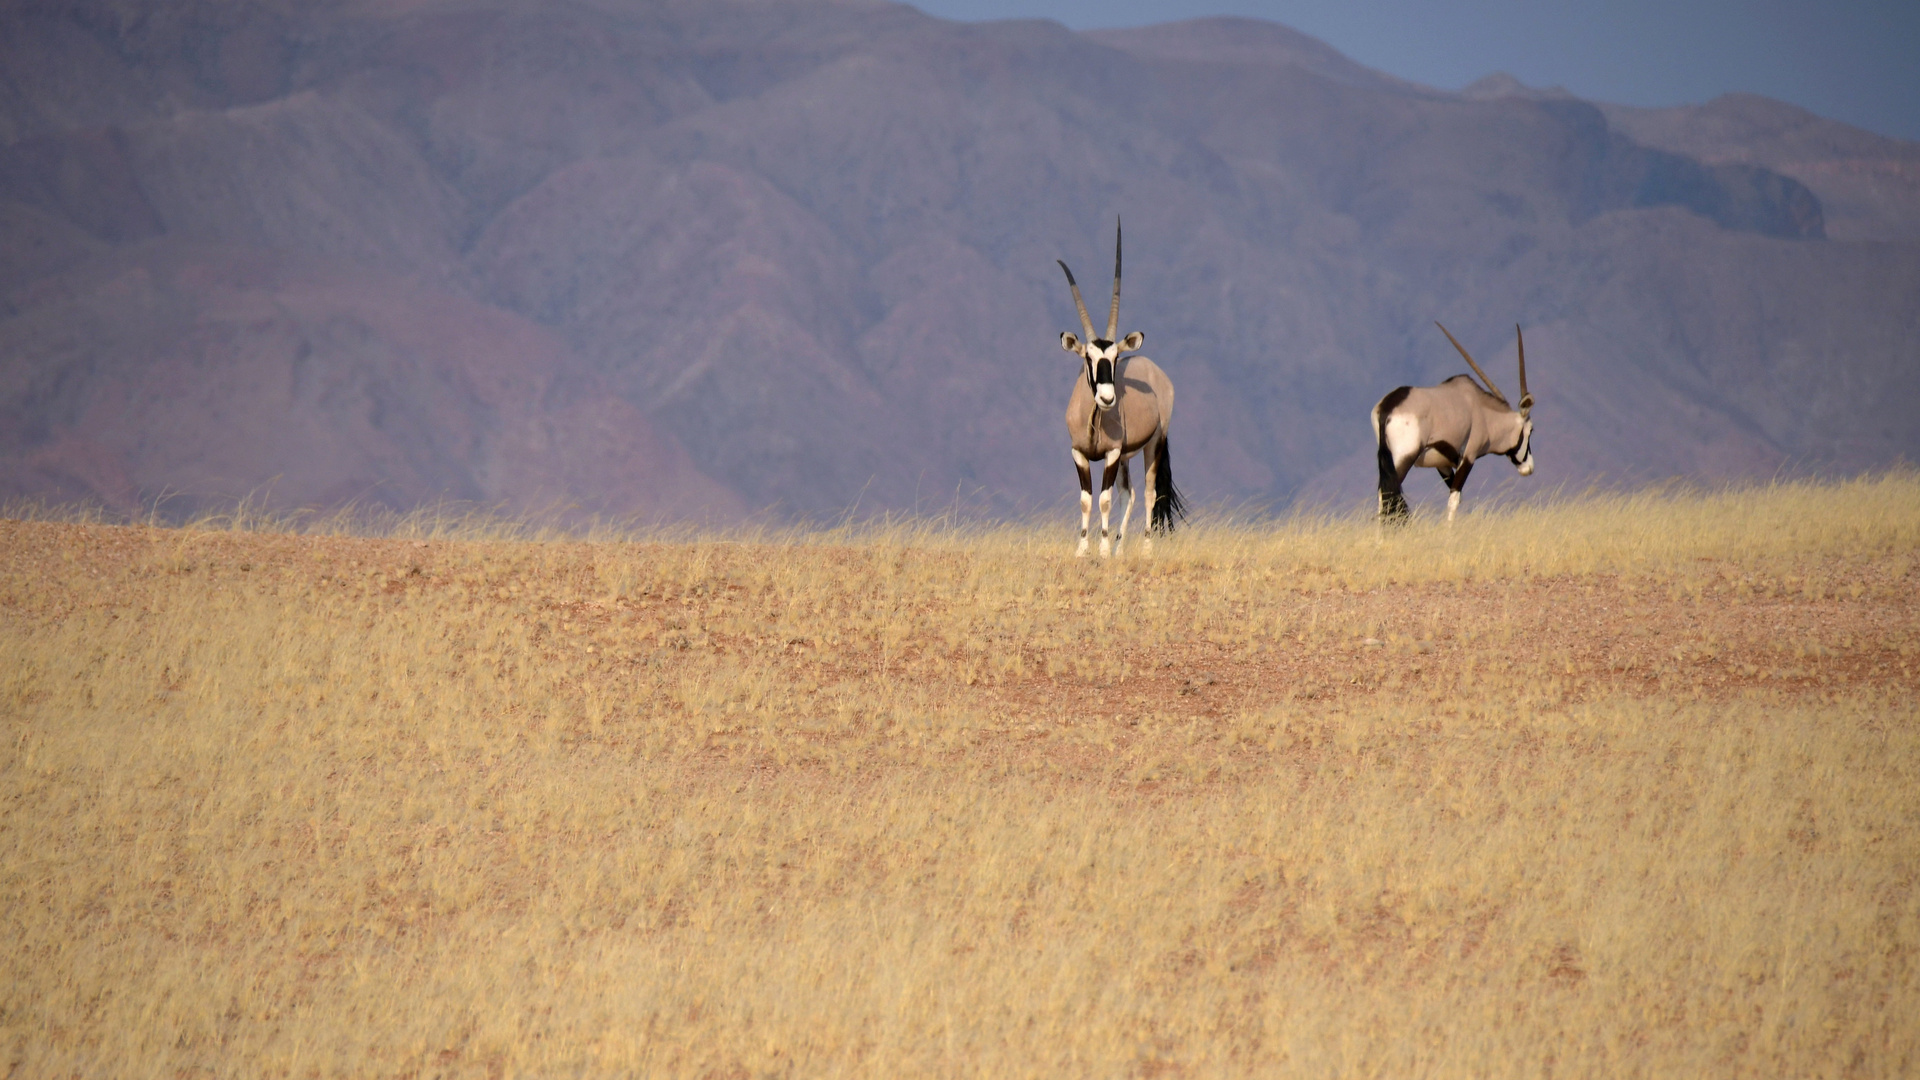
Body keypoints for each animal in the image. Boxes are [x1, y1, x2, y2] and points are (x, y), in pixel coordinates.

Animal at [1052, 219, 1182, 553]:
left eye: (1115, 357)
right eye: (1089, 357)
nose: (1108, 398)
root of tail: (1154, 368)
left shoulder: (1111, 454)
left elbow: (1104, 500)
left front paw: (1101, 548)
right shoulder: (1079, 453)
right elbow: (1087, 500)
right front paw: (1083, 550)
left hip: (1153, 443)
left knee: (1149, 492)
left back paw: (1145, 549)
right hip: (1126, 455)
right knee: (1130, 494)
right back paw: (1121, 549)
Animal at [1374, 319, 1536, 522]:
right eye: (1531, 430)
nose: (1529, 468)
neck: (1483, 411)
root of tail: (1387, 408)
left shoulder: (1442, 464)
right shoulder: (1468, 456)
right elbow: (1454, 499)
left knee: (1383, 495)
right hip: (1403, 458)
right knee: (1389, 494)